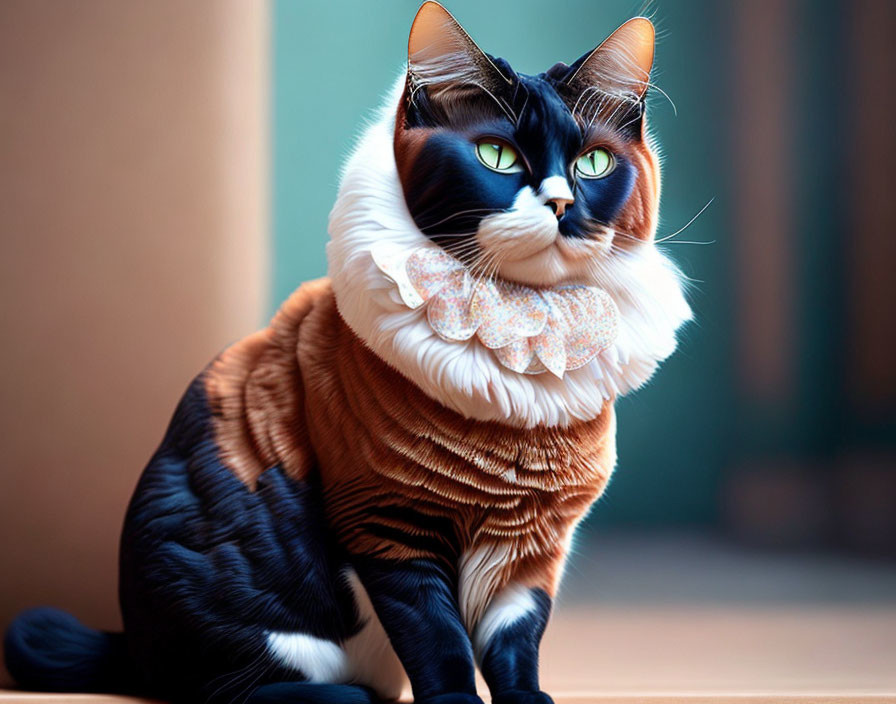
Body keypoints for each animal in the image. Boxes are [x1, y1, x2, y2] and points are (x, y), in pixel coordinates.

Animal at [3, 2, 692, 700]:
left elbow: (515, 641)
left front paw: (528, 697)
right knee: (235, 688)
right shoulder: (391, 524)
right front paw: (455, 698)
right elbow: (437, 637)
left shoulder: (532, 548)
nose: (561, 202)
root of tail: (132, 646)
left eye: (594, 164)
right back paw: (345, 694)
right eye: (496, 154)